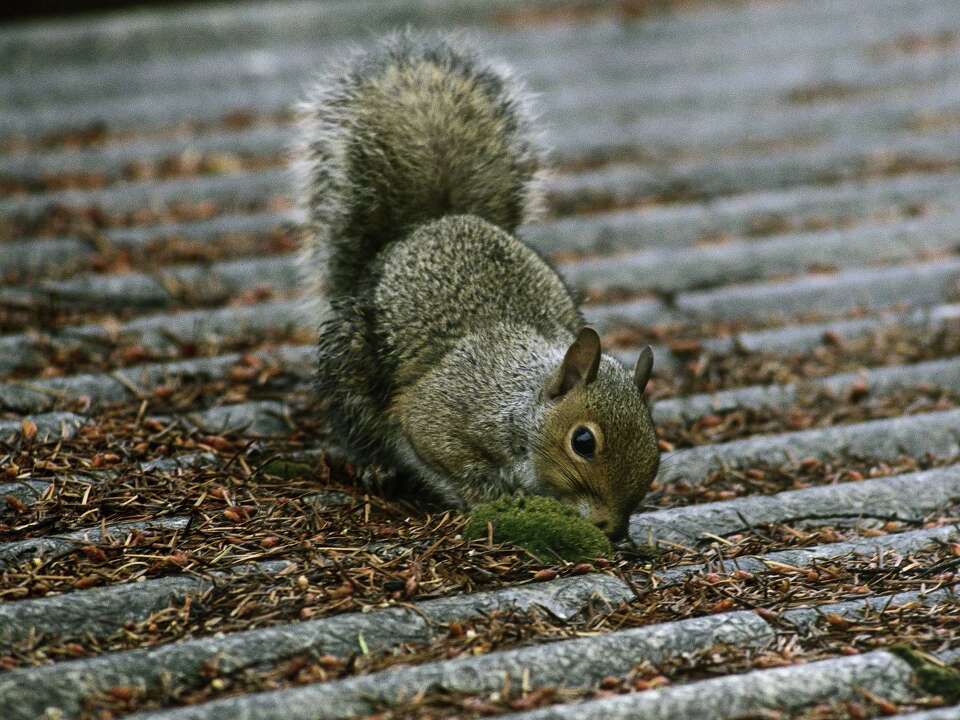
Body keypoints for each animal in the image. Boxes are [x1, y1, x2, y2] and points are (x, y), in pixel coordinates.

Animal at [296, 32, 659, 540]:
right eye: (583, 441)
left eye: (656, 447)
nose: (614, 530)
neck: (519, 400)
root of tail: (429, 223)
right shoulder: (441, 410)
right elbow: (438, 449)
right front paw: (489, 495)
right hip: (351, 360)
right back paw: (374, 466)